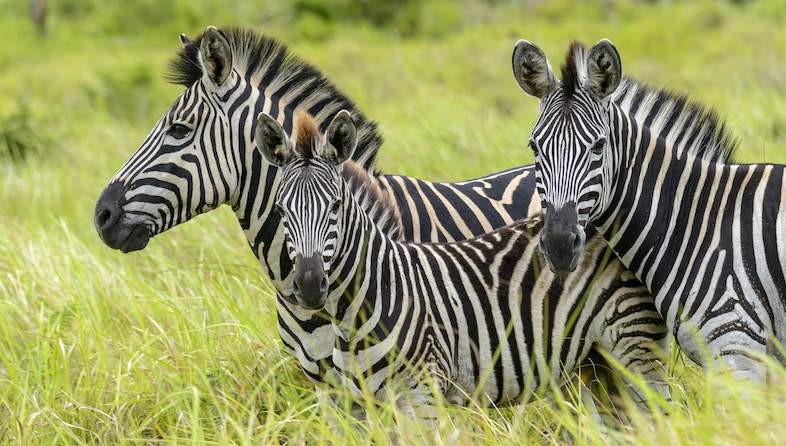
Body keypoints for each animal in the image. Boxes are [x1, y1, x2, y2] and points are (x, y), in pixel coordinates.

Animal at [253, 108, 669, 411]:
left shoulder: (422, 394)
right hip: (594, 360)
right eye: (280, 209)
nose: (309, 286)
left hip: (634, 344)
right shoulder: (354, 401)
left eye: (336, 207)